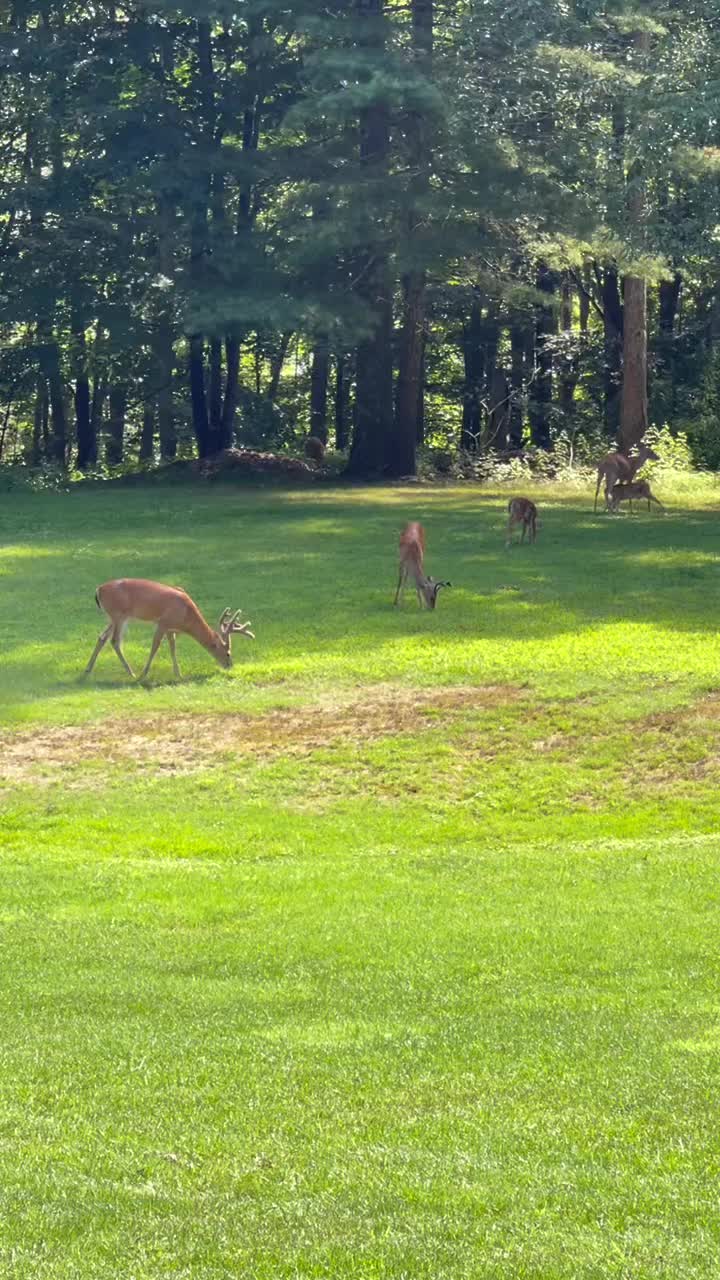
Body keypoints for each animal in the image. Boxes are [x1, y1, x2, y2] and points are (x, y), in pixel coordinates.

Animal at [81, 578, 253, 680]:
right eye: (228, 653)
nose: (230, 665)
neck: (186, 618)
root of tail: (98, 590)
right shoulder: (162, 623)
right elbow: (155, 647)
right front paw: (144, 674)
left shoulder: (171, 629)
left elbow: (172, 648)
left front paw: (178, 674)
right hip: (119, 615)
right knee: (115, 641)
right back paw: (132, 673)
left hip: (112, 617)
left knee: (102, 637)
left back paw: (88, 670)